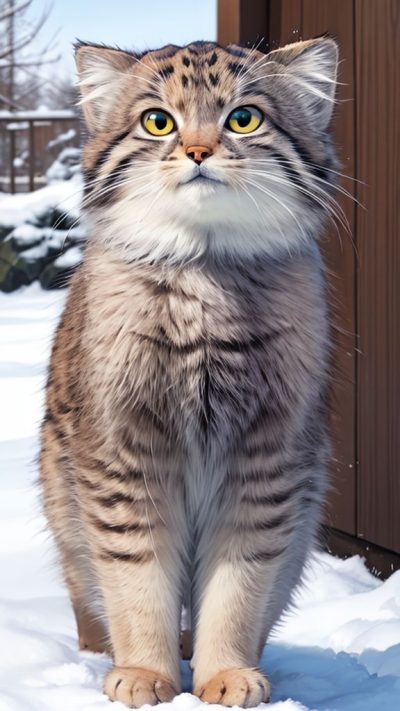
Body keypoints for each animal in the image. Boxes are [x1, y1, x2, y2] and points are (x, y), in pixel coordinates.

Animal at [40, 37, 340, 708]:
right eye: (159, 122)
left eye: (243, 118)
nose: (199, 151)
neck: (206, 271)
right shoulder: (123, 460)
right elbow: (137, 582)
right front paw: (145, 675)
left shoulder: (267, 465)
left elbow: (237, 590)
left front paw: (224, 674)